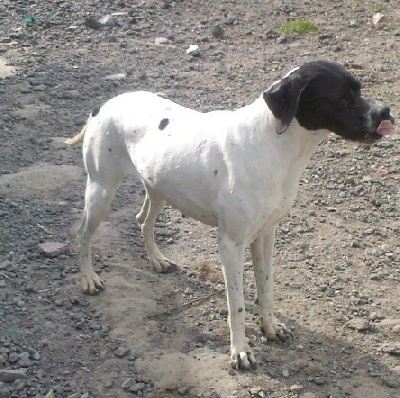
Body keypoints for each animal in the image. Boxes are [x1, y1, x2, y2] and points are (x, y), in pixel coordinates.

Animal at [65, 59, 394, 370]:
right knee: (82, 234)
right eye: (342, 97)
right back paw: (89, 279)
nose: (386, 112)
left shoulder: (265, 236)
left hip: (159, 188)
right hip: (101, 192)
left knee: (143, 220)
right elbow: (236, 305)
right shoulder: (231, 244)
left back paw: (157, 260)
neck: (273, 145)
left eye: (359, 89)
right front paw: (240, 351)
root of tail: (104, 105)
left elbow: (266, 288)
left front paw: (270, 327)